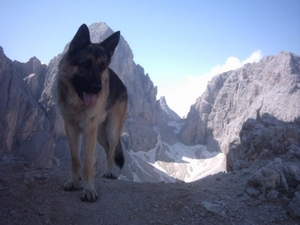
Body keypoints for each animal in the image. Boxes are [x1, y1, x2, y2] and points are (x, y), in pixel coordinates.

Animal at [56, 23, 127, 201]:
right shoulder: (71, 128)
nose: (97, 88)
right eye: (85, 64)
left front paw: (88, 189)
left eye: (102, 67)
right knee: (107, 149)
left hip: (111, 131)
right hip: (100, 135)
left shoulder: (89, 131)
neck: (78, 103)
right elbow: (76, 158)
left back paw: (110, 172)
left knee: (111, 151)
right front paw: (74, 182)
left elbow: (88, 163)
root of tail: (123, 84)